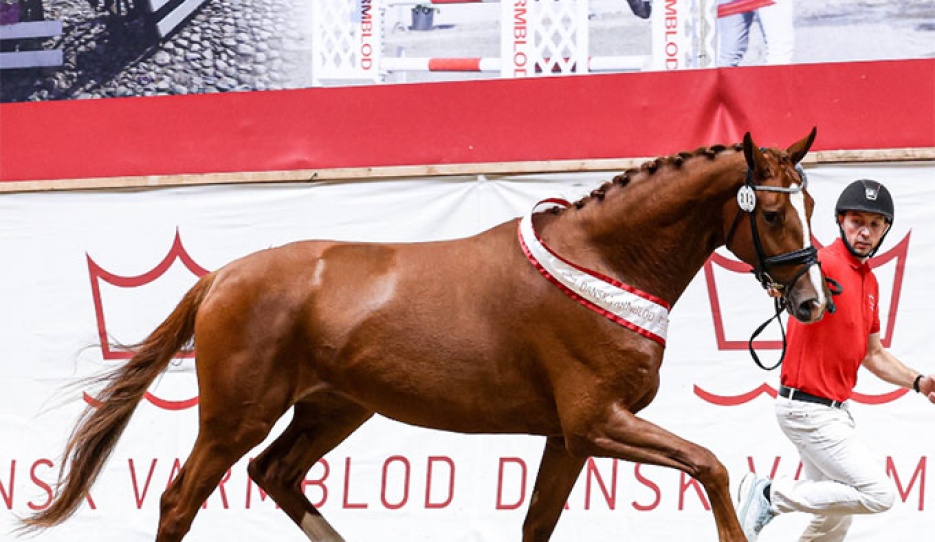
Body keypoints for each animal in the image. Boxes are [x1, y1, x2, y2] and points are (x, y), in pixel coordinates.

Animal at [24, 129, 832, 542]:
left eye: (814, 206)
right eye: (770, 214)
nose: (812, 300)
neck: (604, 261)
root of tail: (223, 275)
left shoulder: (568, 437)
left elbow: (537, 525)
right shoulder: (595, 421)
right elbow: (711, 467)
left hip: (334, 408)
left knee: (277, 475)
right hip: (236, 415)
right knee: (180, 499)